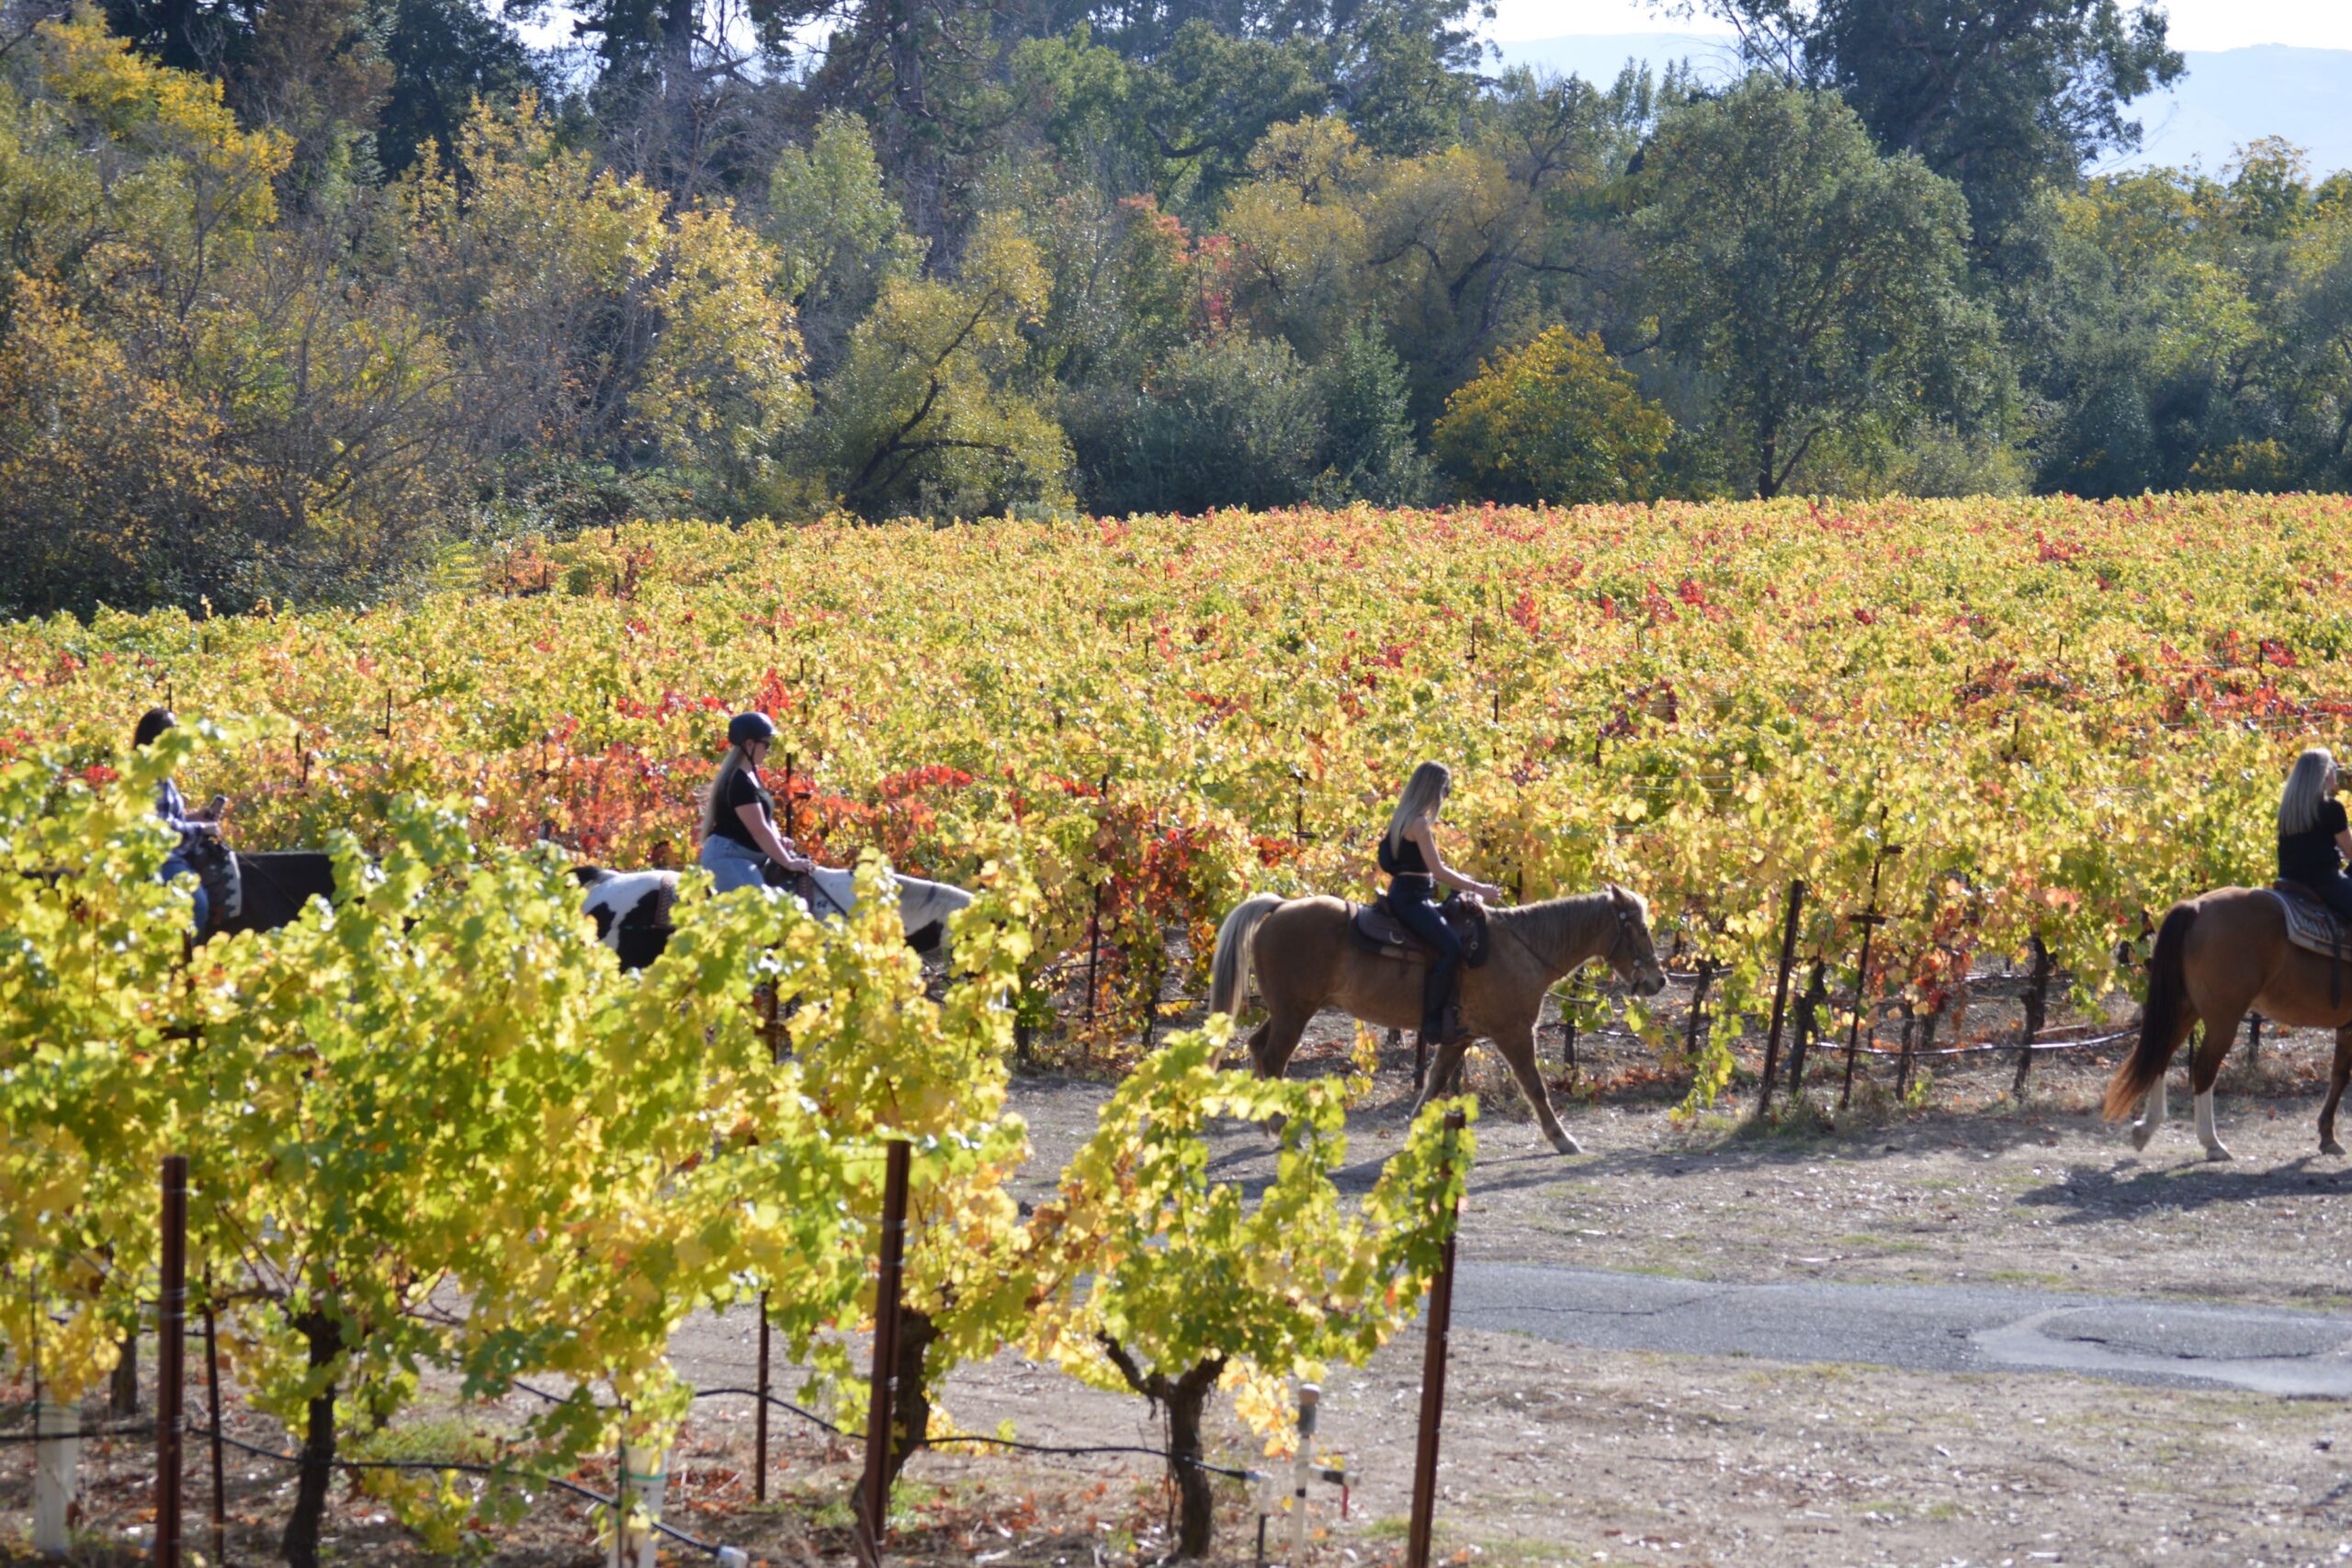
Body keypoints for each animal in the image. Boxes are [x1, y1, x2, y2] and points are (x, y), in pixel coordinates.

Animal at [1213, 888, 1674, 1161]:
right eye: (1641, 928)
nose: (1658, 980)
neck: (1521, 948)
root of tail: (1279, 907)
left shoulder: (1461, 1037)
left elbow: (1435, 1081)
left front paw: (1416, 1129)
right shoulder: (1514, 1033)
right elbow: (1536, 1088)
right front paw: (1562, 1139)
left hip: (1285, 1012)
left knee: (1257, 1049)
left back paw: (1267, 1121)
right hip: (1295, 1014)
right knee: (1273, 1058)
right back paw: (1281, 1126)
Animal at [2107, 888, 2352, 1161]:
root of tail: (2196, 907)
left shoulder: (2346, 1027)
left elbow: (2339, 1075)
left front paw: (2328, 1137)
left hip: (2185, 1009)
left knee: (2161, 1055)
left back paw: (2146, 1128)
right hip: (2223, 1020)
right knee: (2204, 1068)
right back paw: (2212, 1142)